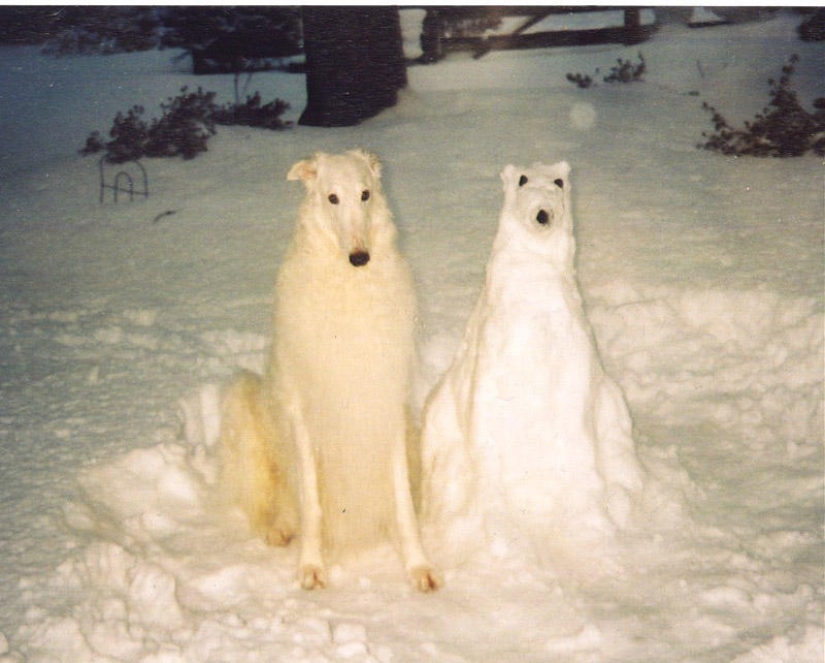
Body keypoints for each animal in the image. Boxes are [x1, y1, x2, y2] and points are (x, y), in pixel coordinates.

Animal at [219, 150, 438, 592]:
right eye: (331, 197)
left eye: (365, 194)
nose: (360, 258)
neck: (348, 291)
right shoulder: (304, 414)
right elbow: (313, 504)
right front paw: (311, 566)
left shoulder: (384, 403)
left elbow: (402, 502)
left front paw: (417, 566)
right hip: (242, 399)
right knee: (266, 504)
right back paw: (279, 528)